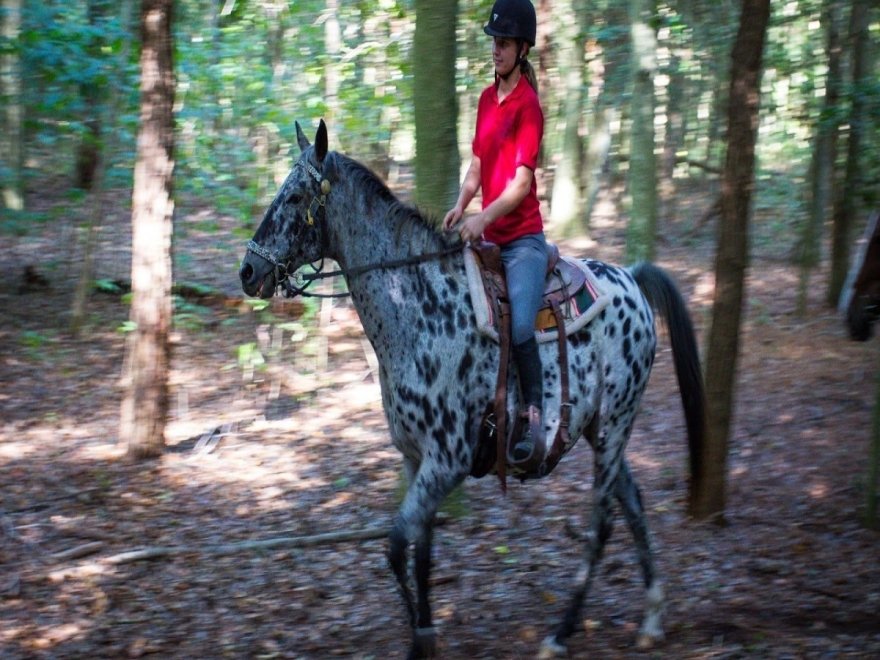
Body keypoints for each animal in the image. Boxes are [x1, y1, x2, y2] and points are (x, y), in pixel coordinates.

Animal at [237, 121, 704, 656]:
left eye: (294, 197)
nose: (248, 271)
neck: (418, 308)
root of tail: (632, 279)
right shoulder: (416, 459)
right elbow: (421, 552)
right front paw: (424, 635)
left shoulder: (448, 460)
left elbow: (395, 546)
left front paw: (419, 637)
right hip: (599, 429)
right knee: (632, 503)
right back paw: (651, 617)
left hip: (612, 428)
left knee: (602, 521)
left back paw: (561, 633)